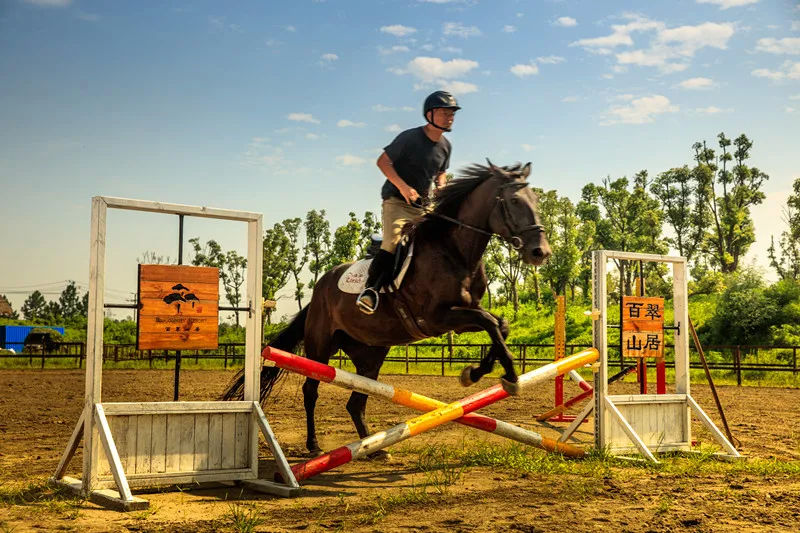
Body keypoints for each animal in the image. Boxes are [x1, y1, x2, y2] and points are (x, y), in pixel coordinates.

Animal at [225, 160, 552, 456]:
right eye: (514, 201)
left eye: (536, 200)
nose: (541, 252)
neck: (455, 251)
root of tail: (319, 289)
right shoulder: (437, 318)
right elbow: (491, 323)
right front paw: (509, 377)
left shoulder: (461, 317)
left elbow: (499, 326)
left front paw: (475, 372)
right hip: (321, 347)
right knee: (311, 391)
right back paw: (314, 445)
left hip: (370, 354)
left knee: (355, 401)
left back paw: (371, 447)